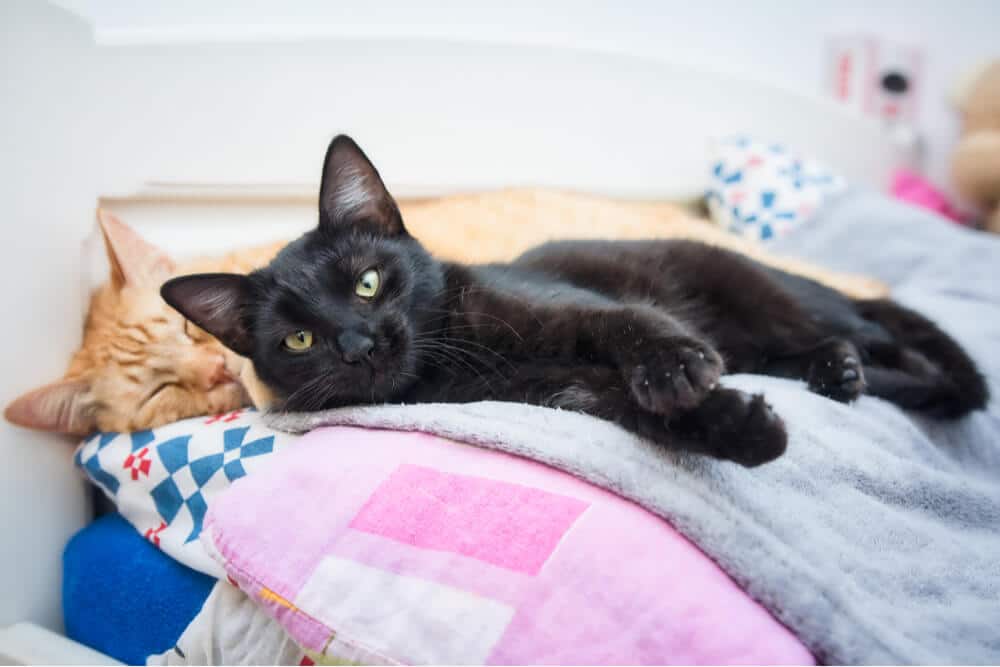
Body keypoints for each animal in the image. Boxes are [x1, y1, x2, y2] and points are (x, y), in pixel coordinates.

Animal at [160, 136, 988, 468]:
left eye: (368, 282)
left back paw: (857, 368)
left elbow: (627, 322)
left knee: (891, 341)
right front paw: (741, 429)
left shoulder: (563, 310)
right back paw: (830, 373)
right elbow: (639, 412)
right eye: (297, 342)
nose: (359, 345)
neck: (455, 359)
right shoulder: (559, 392)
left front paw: (675, 368)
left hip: (769, 300)